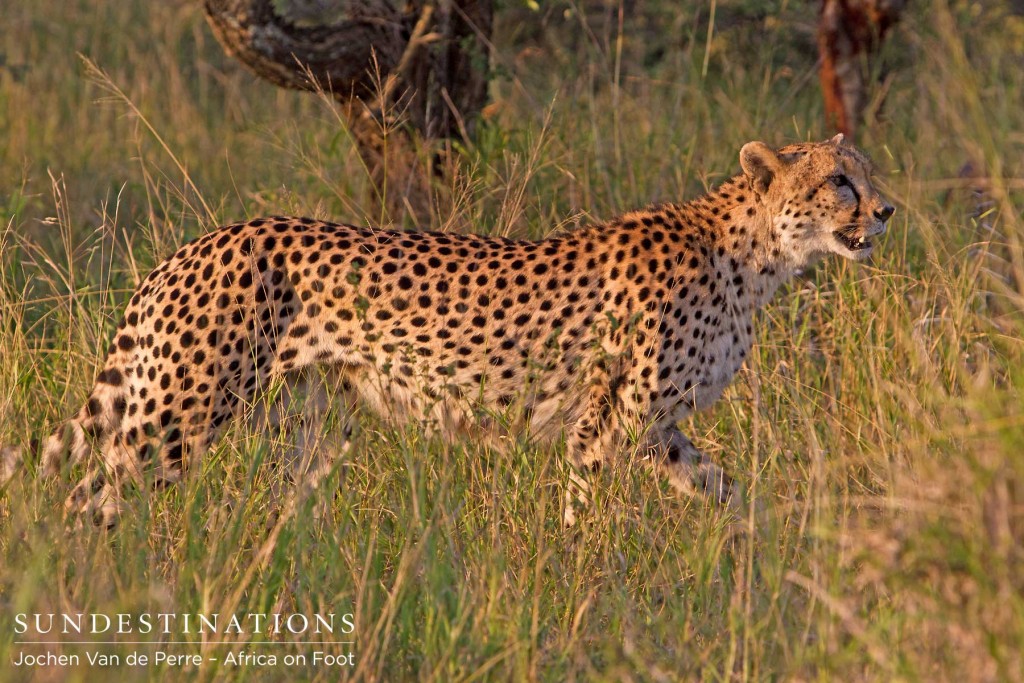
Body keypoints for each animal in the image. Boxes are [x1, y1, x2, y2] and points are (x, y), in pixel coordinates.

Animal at [8, 135, 892, 528]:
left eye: (868, 172)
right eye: (838, 181)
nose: (886, 210)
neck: (756, 256)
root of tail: (202, 240)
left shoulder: (659, 429)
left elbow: (726, 488)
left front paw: (781, 544)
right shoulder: (607, 425)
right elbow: (585, 514)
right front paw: (582, 587)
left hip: (312, 429)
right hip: (180, 412)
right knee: (88, 497)